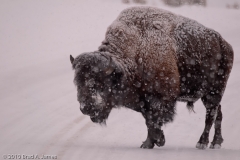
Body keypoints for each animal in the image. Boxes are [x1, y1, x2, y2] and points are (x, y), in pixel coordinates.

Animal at [69, 6, 232, 149]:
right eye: (77, 82)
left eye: (101, 83)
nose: (86, 108)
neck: (135, 51)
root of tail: (224, 43)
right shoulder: (143, 100)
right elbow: (148, 121)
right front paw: (151, 142)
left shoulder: (158, 98)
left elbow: (152, 120)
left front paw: (155, 141)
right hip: (208, 95)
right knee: (218, 114)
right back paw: (216, 143)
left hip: (214, 91)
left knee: (210, 115)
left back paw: (202, 143)